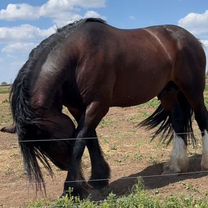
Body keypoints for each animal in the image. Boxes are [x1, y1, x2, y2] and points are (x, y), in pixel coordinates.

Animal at [10, 17, 208, 197]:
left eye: (50, 140)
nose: (64, 166)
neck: (78, 56)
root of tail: (191, 39)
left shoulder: (97, 105)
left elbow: (79, 141)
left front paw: (71, 189)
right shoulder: (77, 108)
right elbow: (90, 139)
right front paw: (98, 178)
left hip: (193, 90)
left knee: (201, 118)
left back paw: (204, 163)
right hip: (169, 92)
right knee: (178, 121)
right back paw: (175, 166)